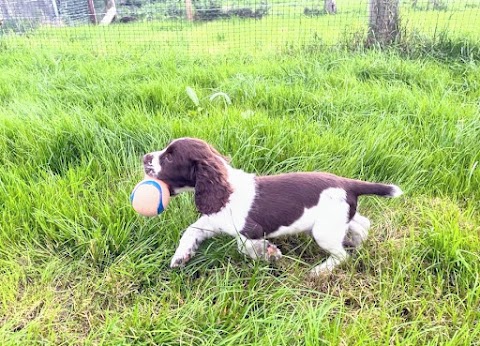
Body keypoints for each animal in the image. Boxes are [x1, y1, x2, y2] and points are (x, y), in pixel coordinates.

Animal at [142, 137, 402, 274]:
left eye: (169, 157)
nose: (145, 157)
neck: (225, 190)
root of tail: (348, 183)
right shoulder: (212, 221)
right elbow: (190, 231)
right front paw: (181, 257)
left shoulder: (250, 230)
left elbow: (242, 246)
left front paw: (268, 253)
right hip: (337, 217)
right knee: (361, 223)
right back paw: (356, 242)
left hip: (323, 230)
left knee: (342, 255)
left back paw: (320, 270)